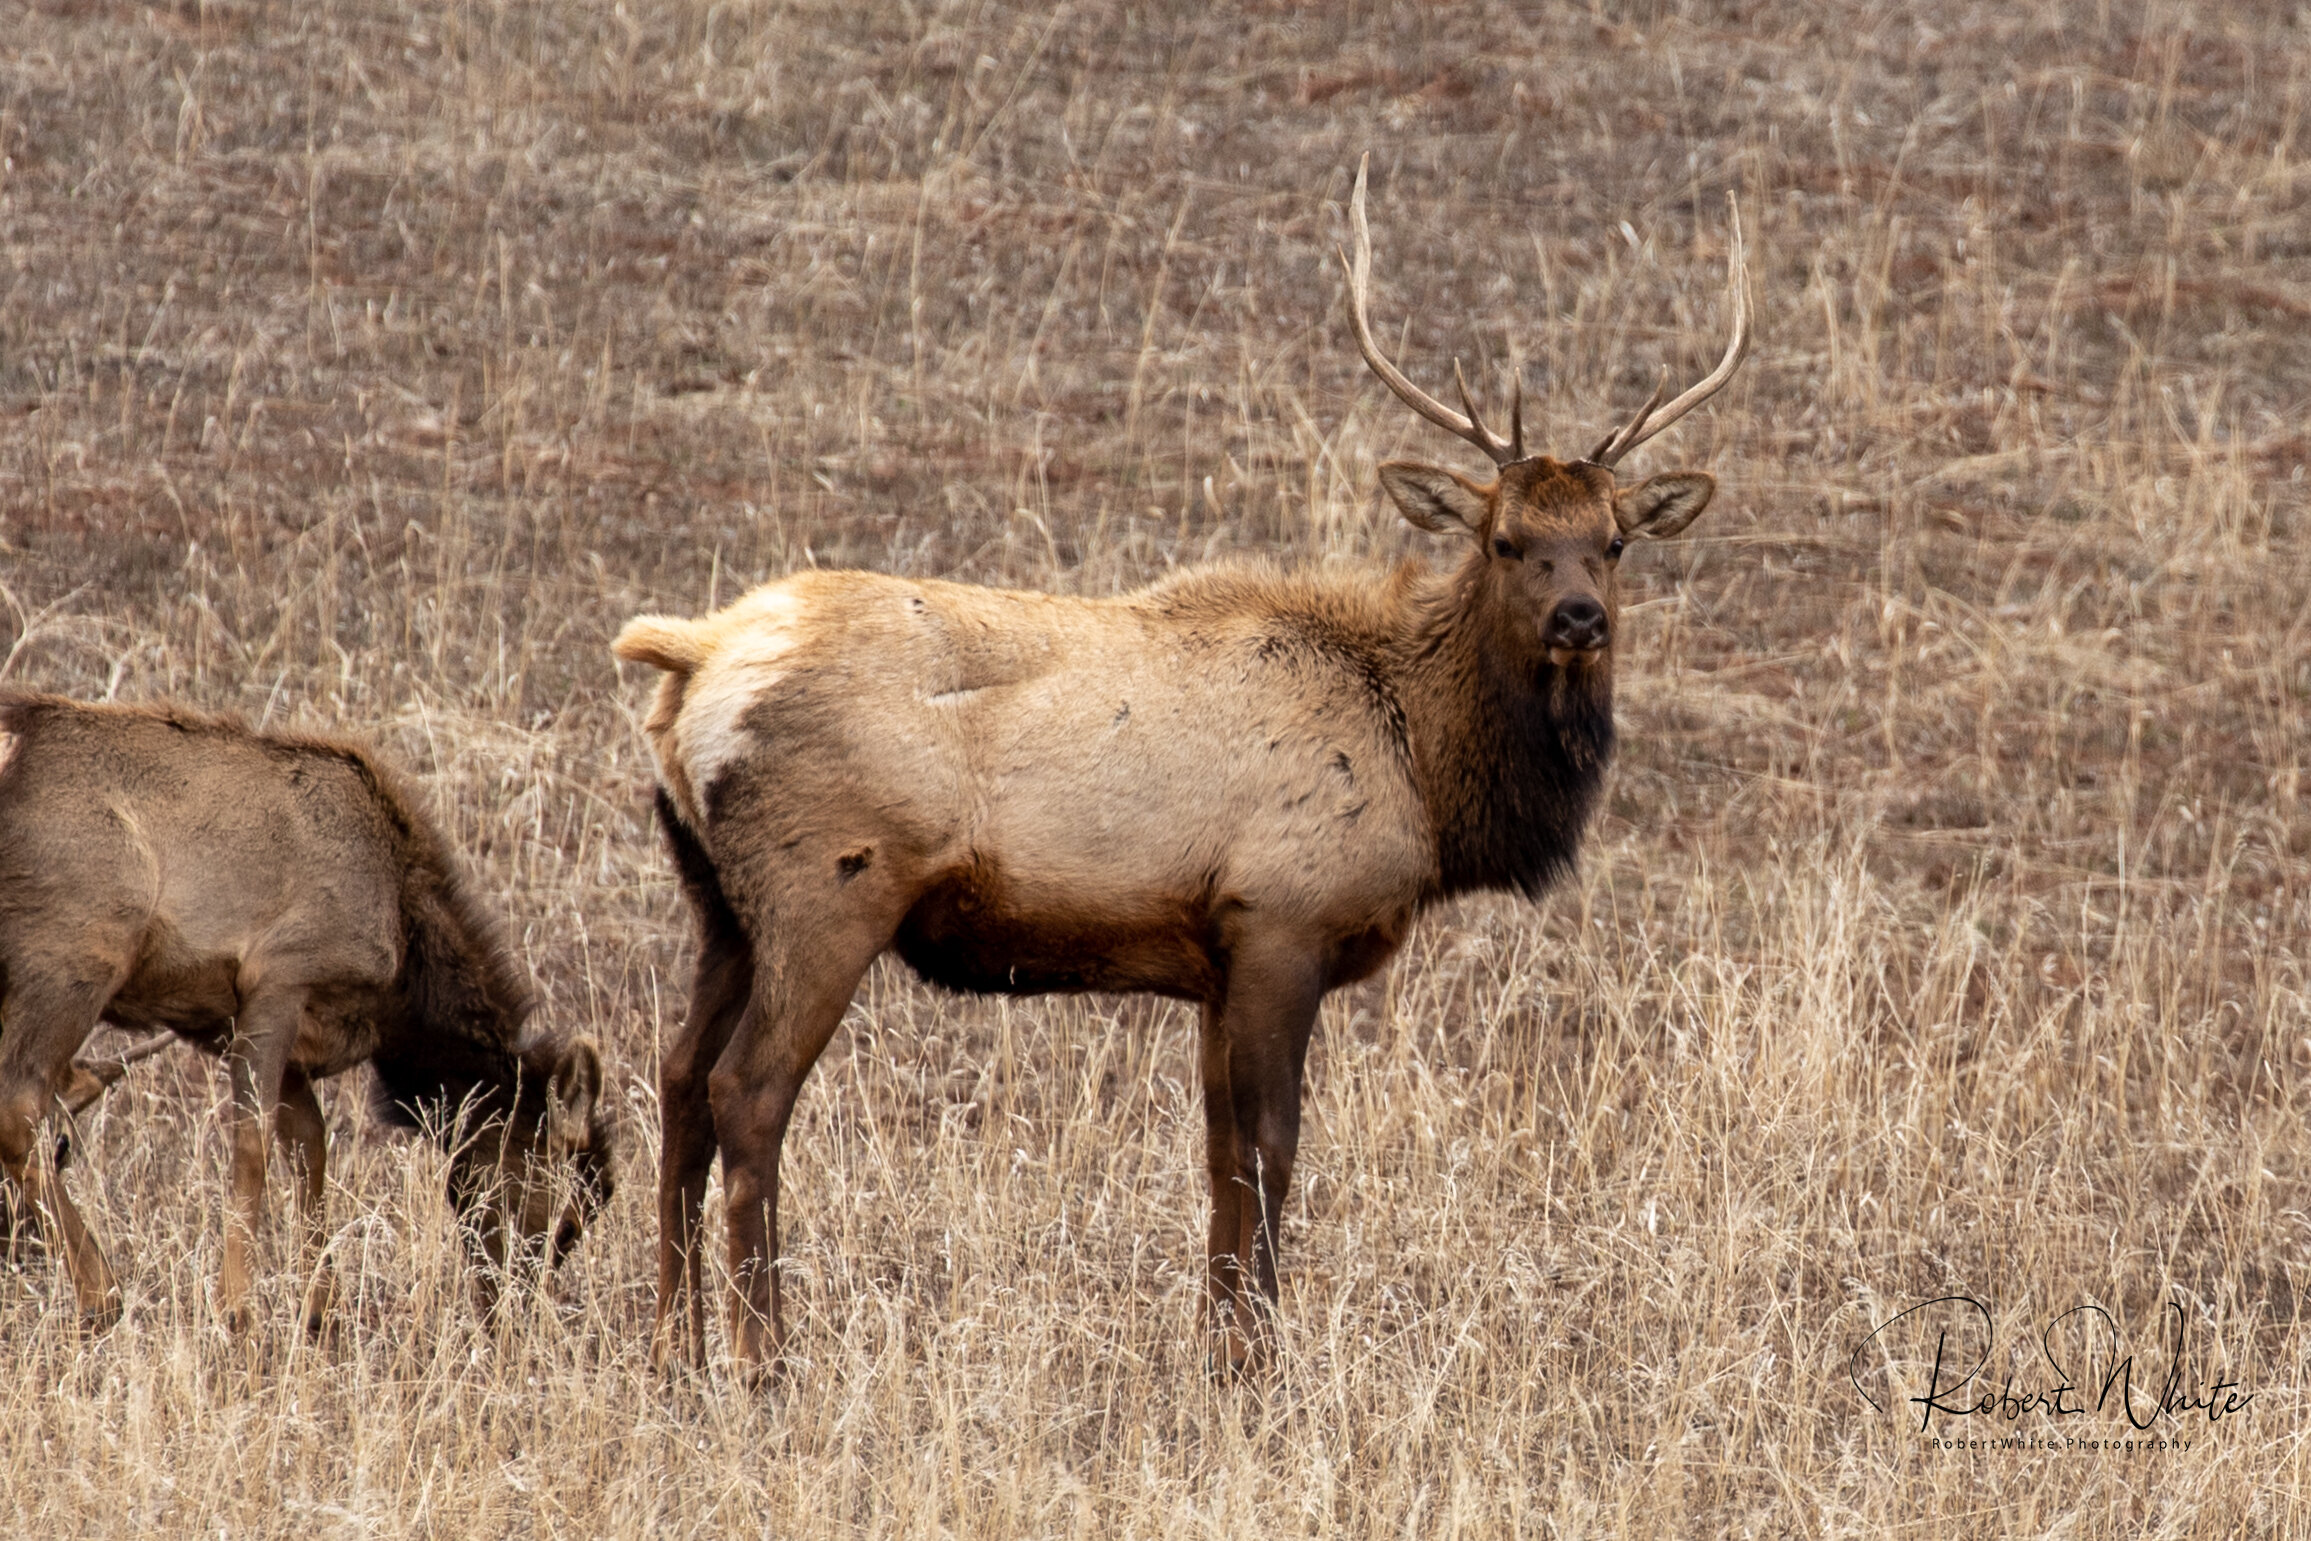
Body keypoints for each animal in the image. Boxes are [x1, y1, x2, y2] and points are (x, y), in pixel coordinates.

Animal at [0, 693, 619, 1330]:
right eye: (571, 1210)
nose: (516, 1311)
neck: (401, 988)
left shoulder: (267, 1027)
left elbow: (310, 1146)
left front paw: (322, 1308)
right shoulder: (279, 975)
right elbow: (253, 1143)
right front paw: (238, 1308)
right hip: (74, 951)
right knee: (20, 1108)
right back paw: (102, 1293)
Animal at [614, 162, 1747, 1376]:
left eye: (1614, 542)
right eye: (1503, 540)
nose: (1580, 617)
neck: (1426, 768)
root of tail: (689, 657)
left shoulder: (1213, 953)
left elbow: (1214, 1153)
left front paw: (1217, 1343)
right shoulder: (1281, 917)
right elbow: (1270, 1147)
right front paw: (1261, 1356)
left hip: (717, 900)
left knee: (675, 1078)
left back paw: (673, 1344)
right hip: (827, 885)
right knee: (746, 1089)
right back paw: (765, 1357)